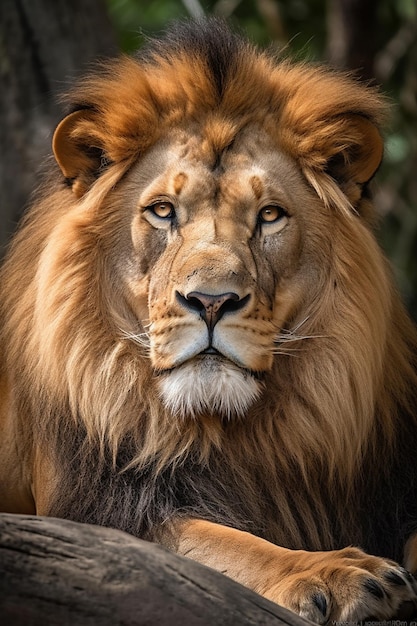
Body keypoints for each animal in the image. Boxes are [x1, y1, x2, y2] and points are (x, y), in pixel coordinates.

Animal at [0, 18, 416, 620]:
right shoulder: (101, 511)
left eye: (270, 215)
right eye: (162, 211)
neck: (229, 431)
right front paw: (333, 572)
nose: (212, 302)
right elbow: (233, 545)